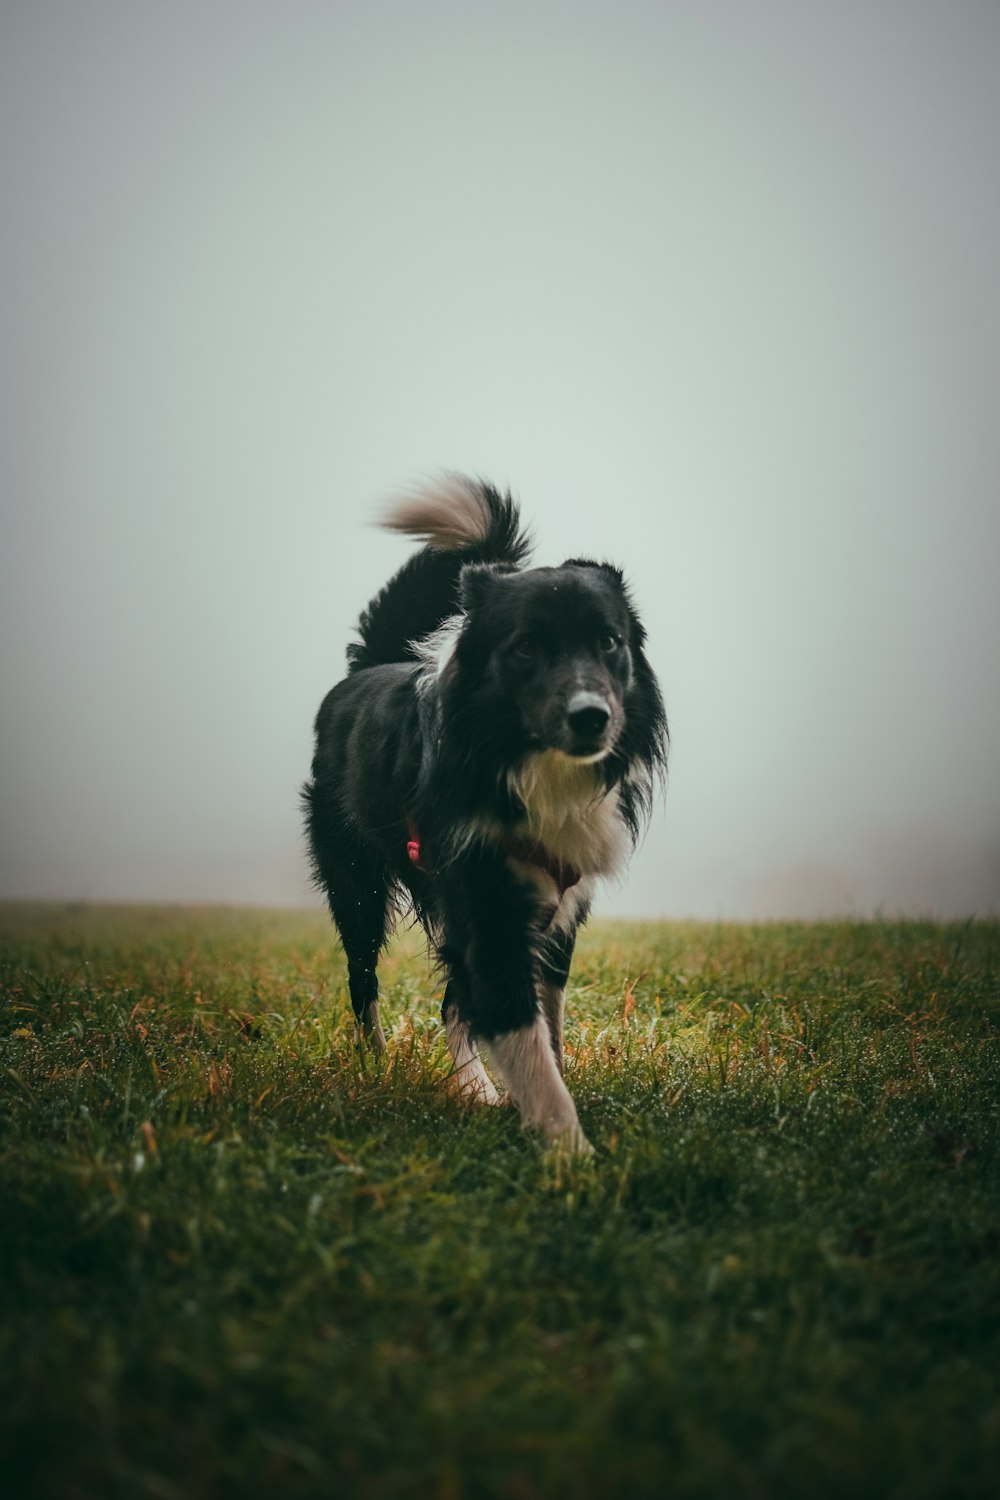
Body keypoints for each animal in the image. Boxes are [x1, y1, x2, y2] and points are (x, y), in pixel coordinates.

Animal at [301, 474, 668, 1152]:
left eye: (608, 641)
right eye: (525, 647)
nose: (592, 718)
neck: (528, 766)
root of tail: (369, 666)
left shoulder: (557, 917)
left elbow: (541, 1031)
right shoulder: (488, 907)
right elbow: (522, 1035)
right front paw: (571, 1154)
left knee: (452, 1002)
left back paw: (472, 1090)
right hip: (356, 882)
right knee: (363, 977)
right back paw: (380, 1065)